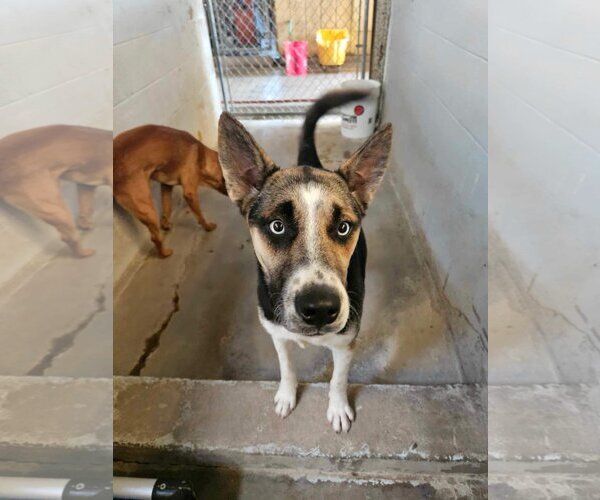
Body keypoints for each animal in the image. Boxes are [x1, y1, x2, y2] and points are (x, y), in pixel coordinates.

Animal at [0, 125, 112, 258]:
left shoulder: (85, 185)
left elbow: (86, 209)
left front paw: (85, 224)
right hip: (55, 208)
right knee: (69, 238)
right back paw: (84, 253)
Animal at [112, 125, 227, 258]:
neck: (201, 155)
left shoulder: (166, 186)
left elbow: (167, 207)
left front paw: (166, 225)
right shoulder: (190, 193)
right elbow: (200, 216)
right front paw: (208, 227)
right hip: (147, 208)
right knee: (154, 238)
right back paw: (165, 253)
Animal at [218, 91, 392, 434]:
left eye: (343, 228)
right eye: (277, 226)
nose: (321, 309)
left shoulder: (345, 343)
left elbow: (338, 379)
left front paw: (338, 409)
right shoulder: (276, 334)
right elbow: (286, 368)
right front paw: (287, 396)